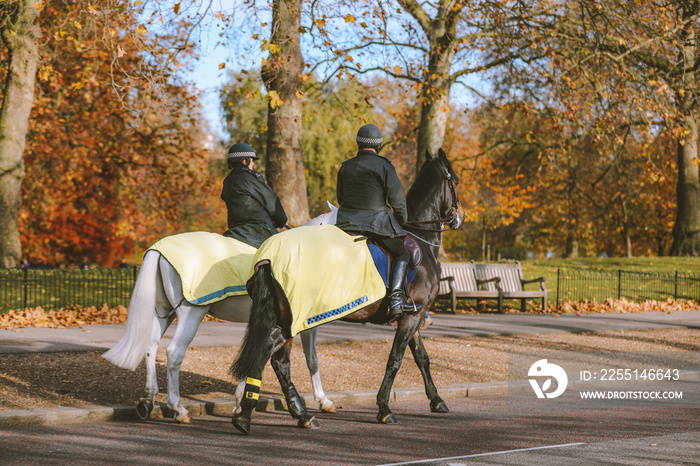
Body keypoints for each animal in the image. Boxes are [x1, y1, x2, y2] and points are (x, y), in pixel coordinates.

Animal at [103, 203, 340, 422]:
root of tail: (159, 249)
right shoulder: (300, 322)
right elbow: (310, 359)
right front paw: (322, 400)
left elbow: (258, 355)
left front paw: (240, 401)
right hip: (191, 314)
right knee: (174, 352)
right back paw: (178, 409)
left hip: (165, 312)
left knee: (151, 347)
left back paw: (147, 400)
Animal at [230, 148, 464, 434]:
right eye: (454, 181)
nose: (460, 217)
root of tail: (268, 255)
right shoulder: (411, 317)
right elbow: (395, 360)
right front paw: (384, 408)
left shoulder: (414, 316)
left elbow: (422, 358)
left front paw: (436, 400)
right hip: (292, 318)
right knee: (270, 354)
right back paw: (259, 413)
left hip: (285, 318)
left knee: (275, 359)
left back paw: (292, 413)